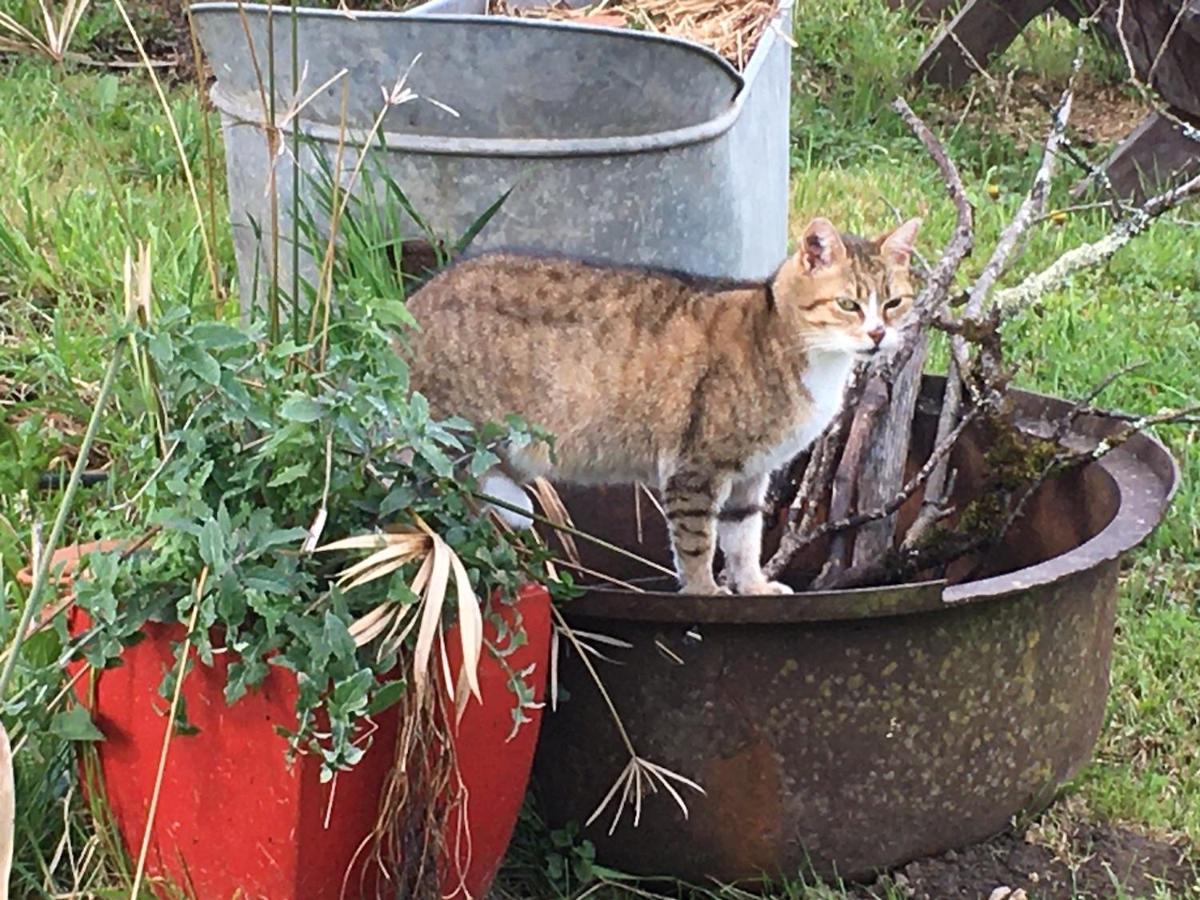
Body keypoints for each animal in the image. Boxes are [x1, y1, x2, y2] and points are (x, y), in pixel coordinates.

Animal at [403, 217, 916, 600]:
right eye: (848, 304)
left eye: (894, 303)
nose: (877, 334)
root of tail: (412, 305)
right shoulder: (697, 468)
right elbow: (697, 542)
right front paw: (705, 591)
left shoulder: (751, 474)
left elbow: (744, 538)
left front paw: (753, 586)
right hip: (452, 439)